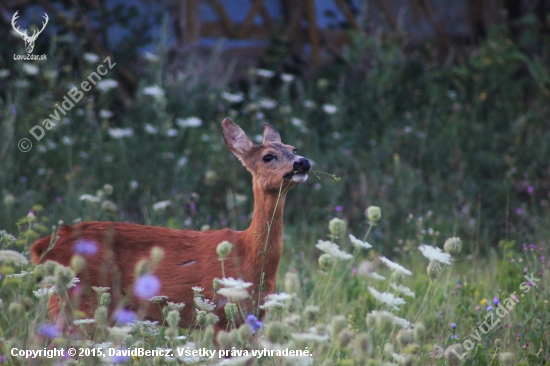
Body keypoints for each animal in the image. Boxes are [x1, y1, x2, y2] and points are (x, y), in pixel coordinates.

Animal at [31, 118, 310, 330]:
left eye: (294, 148)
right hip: (81, 300)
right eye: (268, 156)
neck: (249, 254)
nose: (303, 162)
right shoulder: (221, 314)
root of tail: (40, 247)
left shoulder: (253, 318)